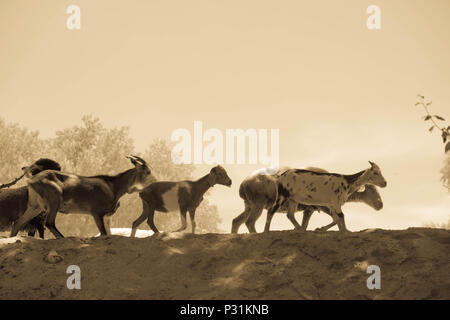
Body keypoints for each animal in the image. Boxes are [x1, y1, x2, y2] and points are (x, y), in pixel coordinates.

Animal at [9, 155, 156, 238]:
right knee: (49, 223)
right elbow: (103, 234)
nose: (155, 182)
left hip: (35, 206)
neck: (113, 185)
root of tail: (32, 179)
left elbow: (108, 234)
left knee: (18, 222)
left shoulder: (106, 217)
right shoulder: (96, 213)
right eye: (147, 171)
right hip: (54, 201)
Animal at [232, 166, 384, 234]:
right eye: (371, 190)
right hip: (261, 203)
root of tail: (242, 185)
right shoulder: (316, 207)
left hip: (250, 205)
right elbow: (337, 218)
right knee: (252, 221)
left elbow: (336, 219)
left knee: (237, 221)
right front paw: (321, 229)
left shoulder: (323, 206)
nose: (380, 205)